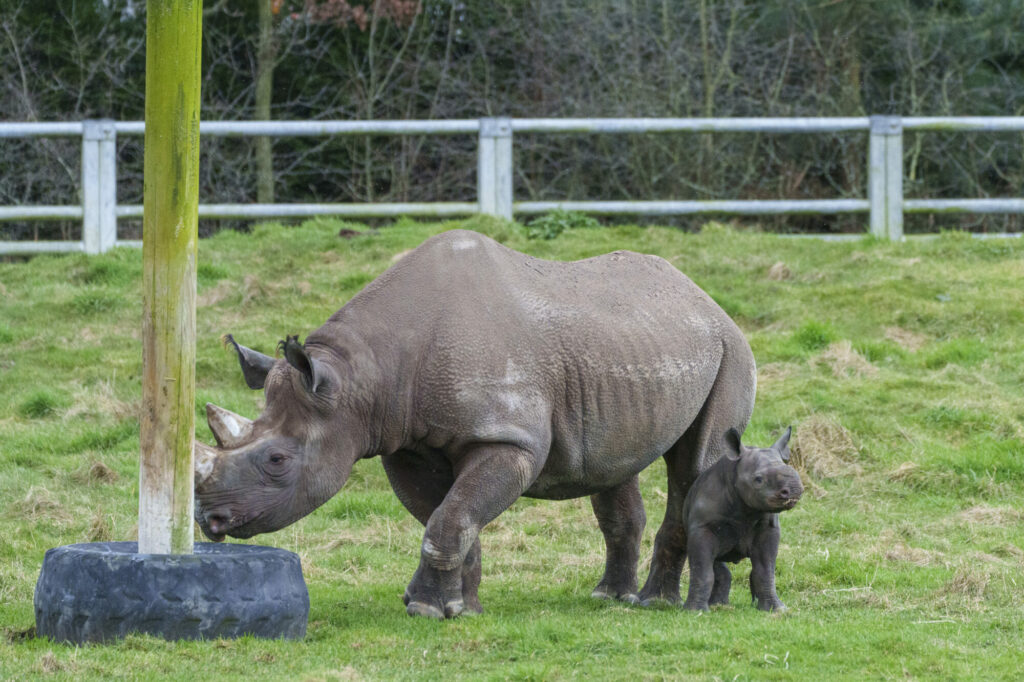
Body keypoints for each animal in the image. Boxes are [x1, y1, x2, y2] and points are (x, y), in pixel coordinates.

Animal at [194, 229, 757, 619]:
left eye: (277, 460)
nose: (210, 521)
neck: (360, 378)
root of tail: (703, 297)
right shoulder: (406, 444)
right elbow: (448, 516)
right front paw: (458, 607)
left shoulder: (509, 440)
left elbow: (451, 517)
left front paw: (426, 610)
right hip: (633, 351)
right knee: (614, 466)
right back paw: (611, 597)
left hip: (729, 350)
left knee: (696, 465)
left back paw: (667, 604)